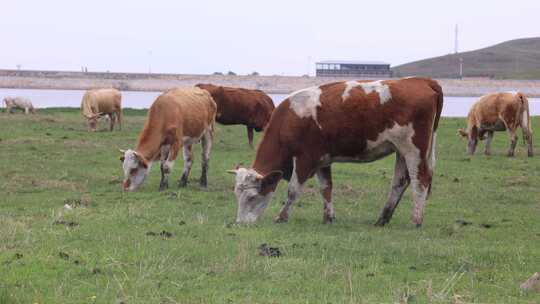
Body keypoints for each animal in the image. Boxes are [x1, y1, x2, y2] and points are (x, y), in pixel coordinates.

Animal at [228, 77, 442, 227]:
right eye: (237, 195)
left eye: (252, 197)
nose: (240, 224)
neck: (289, 120)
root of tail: (422, 80)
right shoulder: (322, 159)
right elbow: (326, 188)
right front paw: (328, 217)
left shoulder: (306, 158)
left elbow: (293, 190)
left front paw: (281, 217)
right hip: (400, 150)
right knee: (400, 182)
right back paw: (382, 219)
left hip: (414, 149)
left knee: (420, 180)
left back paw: (416, 220)